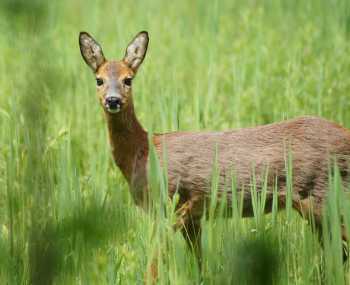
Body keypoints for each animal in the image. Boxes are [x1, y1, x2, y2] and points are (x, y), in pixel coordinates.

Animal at [80, 30, 350, 270]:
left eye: (128, 79)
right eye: (99, 79)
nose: (113, 100)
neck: (143, 152)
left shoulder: (173, 202)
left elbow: (155, 263)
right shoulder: (193, 216)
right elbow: (198, 263)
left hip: (325, 194)